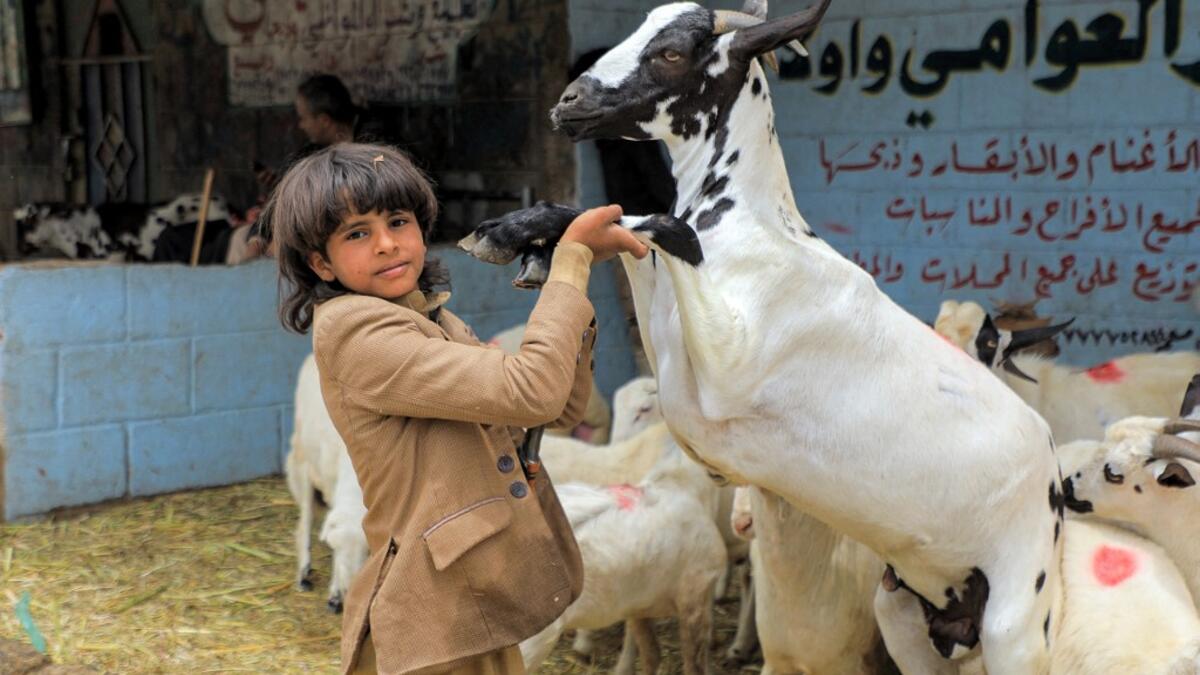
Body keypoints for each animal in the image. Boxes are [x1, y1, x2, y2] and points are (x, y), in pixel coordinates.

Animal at [285, 354, 368, 612]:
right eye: (334, 548)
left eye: (367, 551)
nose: (348, 592)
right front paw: (334, 593)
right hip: (302, 461)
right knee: (304, 521)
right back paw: (303, 573)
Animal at [520, 443, 727, 675]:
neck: (684, 483)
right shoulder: (695, 597)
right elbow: (694, 665)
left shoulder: (640, 606)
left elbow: (651, 655)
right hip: (532, 645)